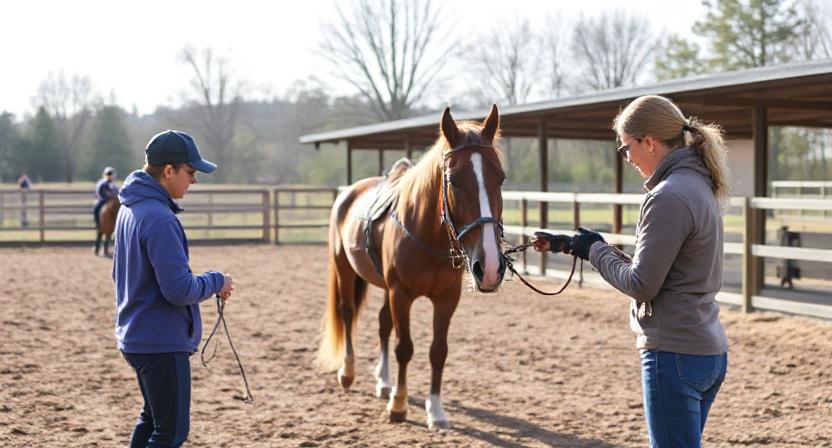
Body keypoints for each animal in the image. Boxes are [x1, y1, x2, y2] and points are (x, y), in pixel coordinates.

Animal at [317, 105, 507, 430]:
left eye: (501, 178)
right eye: (454, 180)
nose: (491, 267)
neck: (427, 234)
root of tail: (347, 193)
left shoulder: (446, 298)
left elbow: (438, 351)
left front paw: (436, 411)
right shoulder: (401, 294)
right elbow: (404, 348)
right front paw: (398, 405)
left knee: (382, 322)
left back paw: (383, 382)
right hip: (344, 269)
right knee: (347, 313)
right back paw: (348, 372)